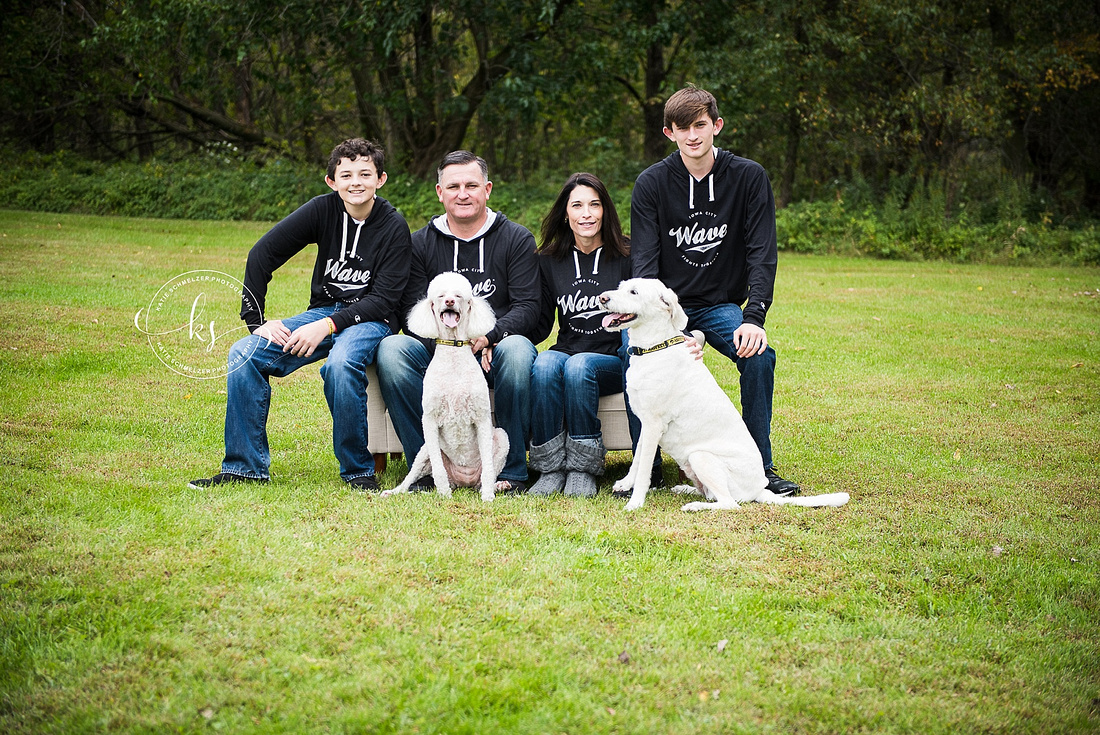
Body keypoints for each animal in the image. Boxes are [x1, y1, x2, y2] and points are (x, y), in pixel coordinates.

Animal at [385, 272, 508, 501]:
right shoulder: (430, 420)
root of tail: (463, 483)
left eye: (459, 296)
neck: (453, 354)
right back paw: (395, 491)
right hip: (424, 451)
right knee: (411, 476)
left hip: (502, 438)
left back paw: (498, 485)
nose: (449, 302)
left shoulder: (482, 418)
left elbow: (488, 468)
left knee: (487, 475)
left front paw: (488, 496)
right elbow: (438, 469)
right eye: (441, 296)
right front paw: (443, 496)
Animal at [602, 278, 849, 514]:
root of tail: (759, 489)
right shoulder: (646, 422)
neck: (655, 346)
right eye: (621, 287)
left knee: (729, 503)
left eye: (634, 292)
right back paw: (685, 489)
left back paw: (695, 506)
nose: (602, 298)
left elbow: (644, 468)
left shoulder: (654, 424)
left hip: (701, 456)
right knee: (711, 494)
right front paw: (626, 483)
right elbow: (637, 459)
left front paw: (635, 503)